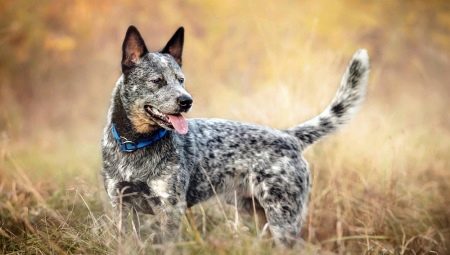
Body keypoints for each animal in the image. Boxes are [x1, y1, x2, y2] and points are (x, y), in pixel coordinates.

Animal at [101, 24, 370, 246]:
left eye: (181, 79)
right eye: (157, 80)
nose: (187, 101)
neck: (135, 145)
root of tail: (289, 137)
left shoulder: (170, 208)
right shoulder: (120, 205)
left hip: (283, 219)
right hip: (253, 213)